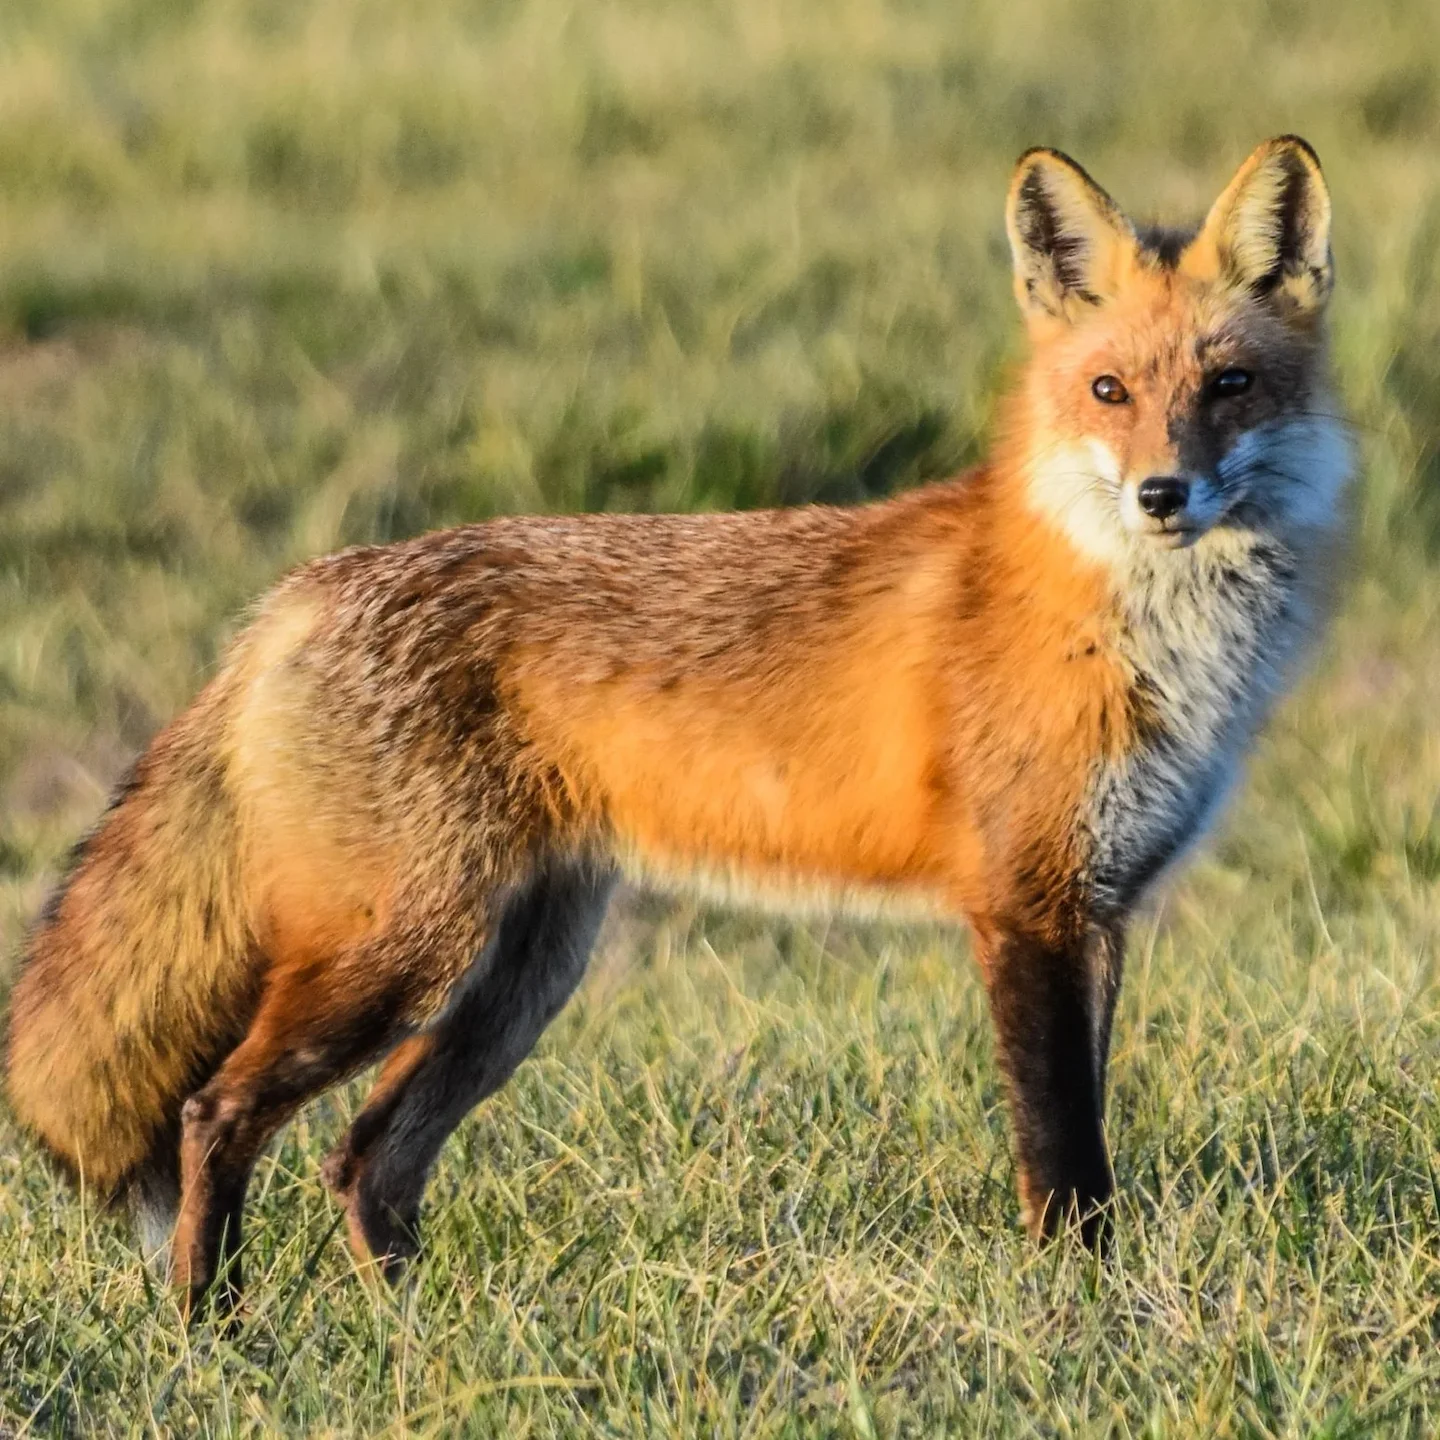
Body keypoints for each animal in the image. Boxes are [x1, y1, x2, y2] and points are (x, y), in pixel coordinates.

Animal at [6, 136, 1350, 1315]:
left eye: (1229, 387)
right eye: (1108, 392)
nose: (1163, 493)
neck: (1131, 628)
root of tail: (297, 592)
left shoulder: (1101, 906)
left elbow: (1087, 1129)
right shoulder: (1023, 904)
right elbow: (1063, 1158)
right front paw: (1081, 1310)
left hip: (517, 979)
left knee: (367, 1156)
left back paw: (419, 1336)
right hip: (401, 955)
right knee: (216, 1113)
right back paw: (211, 1326)